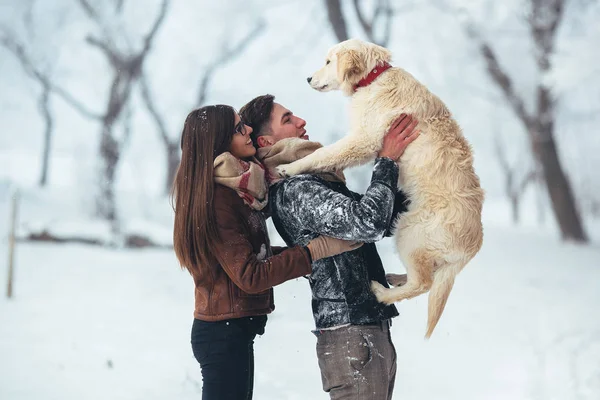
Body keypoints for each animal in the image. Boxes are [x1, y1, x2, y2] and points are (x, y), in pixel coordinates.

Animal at [278, 39, 486, 338]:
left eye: (328, 62)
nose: (308, 78)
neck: (373, 79)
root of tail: (473, 245)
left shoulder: (363, 140)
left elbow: (323, 154)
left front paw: (289, 167)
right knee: (427, 278)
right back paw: (395, 279)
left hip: (409, 232)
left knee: (423, 283)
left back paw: (381, 292)